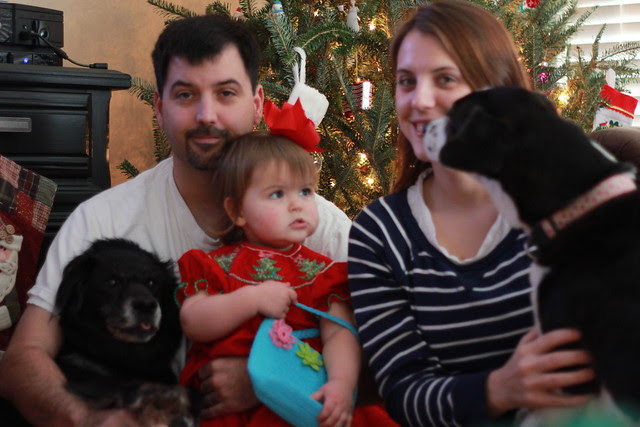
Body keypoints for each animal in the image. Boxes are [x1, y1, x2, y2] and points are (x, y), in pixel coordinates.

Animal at [55, 238, 195, 426]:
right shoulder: (75, 368)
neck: (126, 357)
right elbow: (109, 385)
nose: (146, 305)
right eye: (112, 282)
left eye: (152, 282)